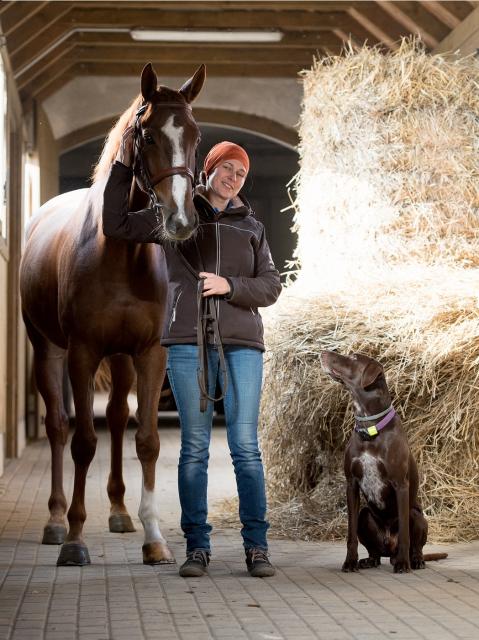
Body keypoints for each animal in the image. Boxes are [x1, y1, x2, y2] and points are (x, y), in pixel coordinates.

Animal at [20, 62, 205, 568]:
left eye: (195, 135)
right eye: (148, 135)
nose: (181, 222)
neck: (119, 252)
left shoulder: (150, 353)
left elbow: (147, 441)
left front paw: (154, 539)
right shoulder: (82, 352)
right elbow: (84, 441)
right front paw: (75, 538)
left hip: (121, 359)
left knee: (120, 419)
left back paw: (120, 512)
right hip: (48, 351)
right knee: (58, 427)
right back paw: (54, 520)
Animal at [320, 352, 448, 572]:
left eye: (354, 357)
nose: (323, 353)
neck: (370, 428)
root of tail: (390, 549)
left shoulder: (400, 484)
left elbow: (405, 534)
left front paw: (404, 564)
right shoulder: (351, 483)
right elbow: (350, 534)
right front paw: (350, 561)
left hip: (417, 516)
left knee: (415, 544)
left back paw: (413, 560)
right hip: (365, 515)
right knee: (375, 551)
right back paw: (369, 560)